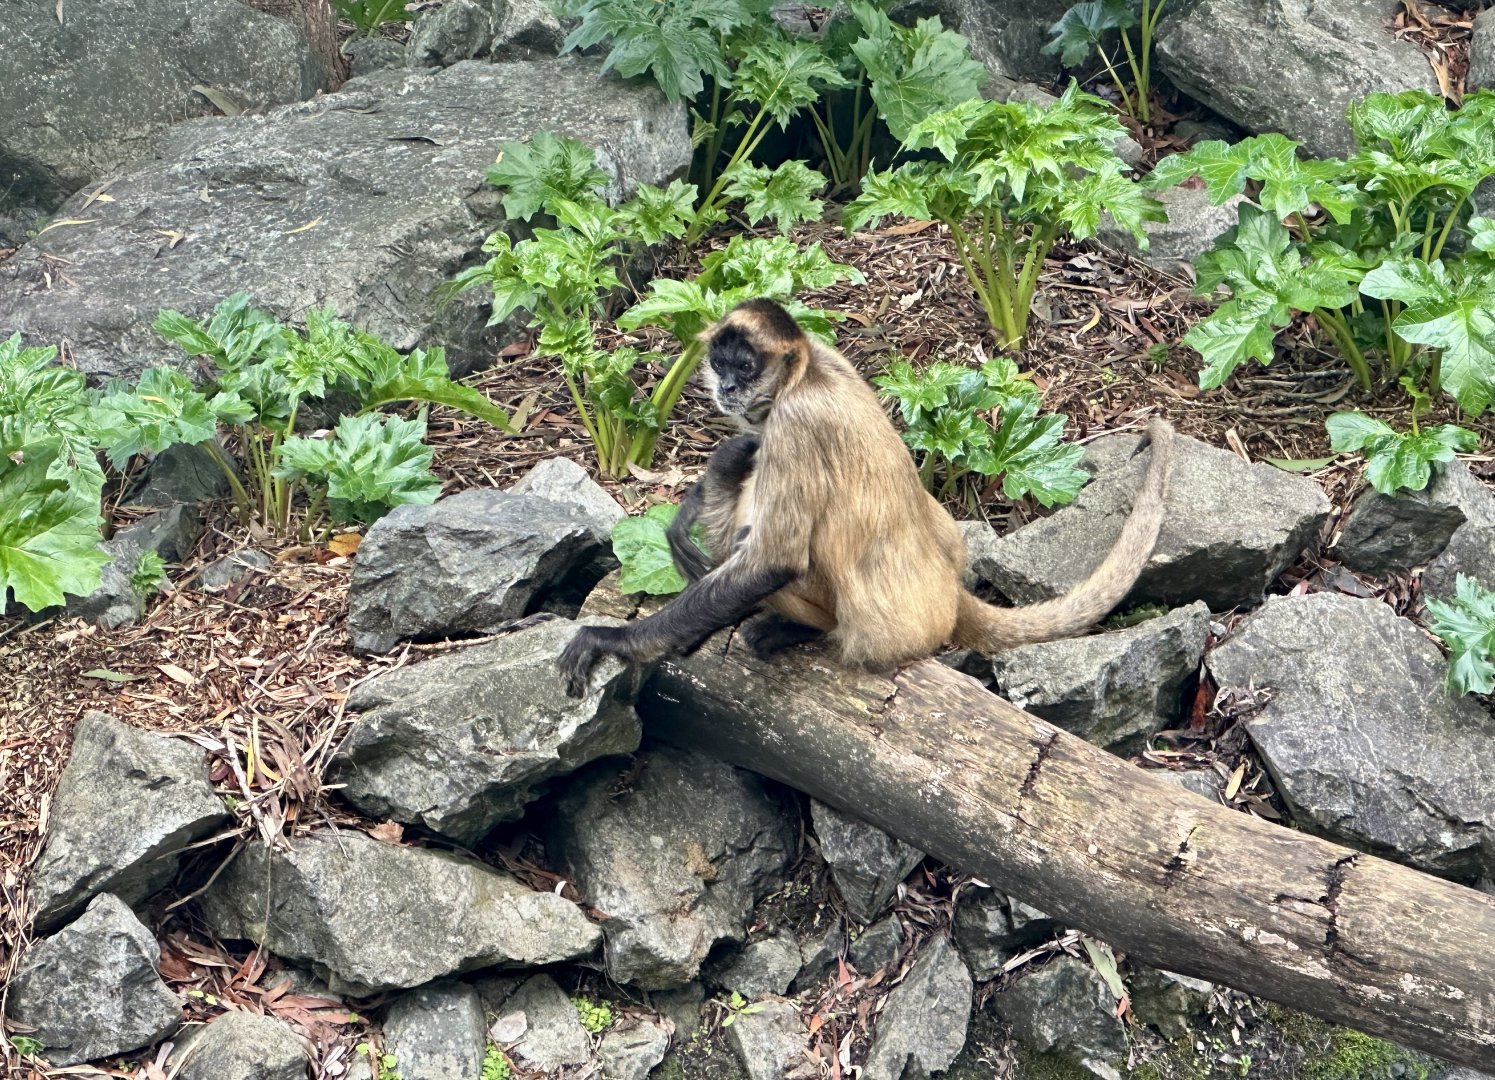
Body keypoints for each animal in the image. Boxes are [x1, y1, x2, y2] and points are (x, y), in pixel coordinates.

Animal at [558, 297, 1175, 697]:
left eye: (745, 367)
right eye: (719, 362)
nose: (727, 387)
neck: (806, 375)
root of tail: (949, 595)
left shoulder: (795, 423)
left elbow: (774, 558)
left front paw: (613, 640)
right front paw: (684, 514)